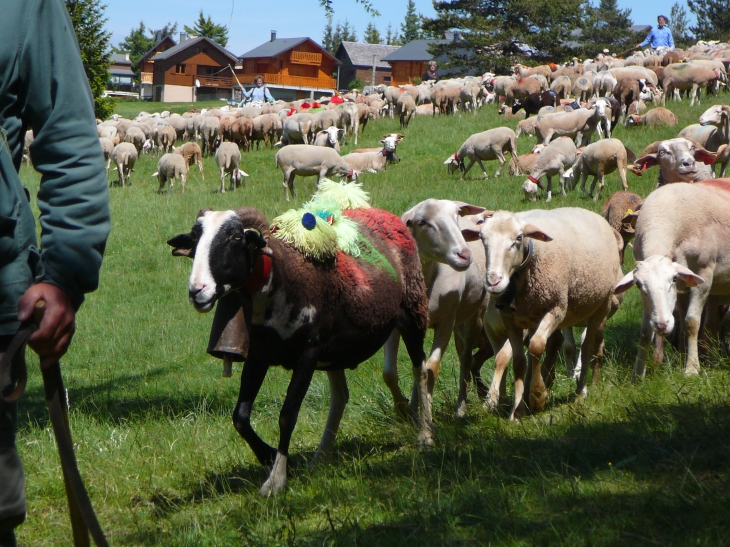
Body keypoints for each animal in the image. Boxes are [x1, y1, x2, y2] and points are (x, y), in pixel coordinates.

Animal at [168, 204, 430, 496]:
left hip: (413, 311)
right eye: (194, 239)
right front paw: (269, 456)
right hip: (333, 351)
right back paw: (320, 459)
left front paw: (276, 479)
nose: (197, 291)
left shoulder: (308, 353)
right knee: (340, 396)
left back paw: (425, 435)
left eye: (236, 237)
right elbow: (240, 417)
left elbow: (287, 415)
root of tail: (385, 214)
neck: (280, 277)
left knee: (421, 370)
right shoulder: (258, 355)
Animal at [612, 182, 728, 378]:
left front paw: (691, 369)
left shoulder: (704, 275)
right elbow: (645, 332)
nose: (662, 325)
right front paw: (638, 373)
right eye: (639, 285)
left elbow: (691, 322)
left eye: (674, 279)